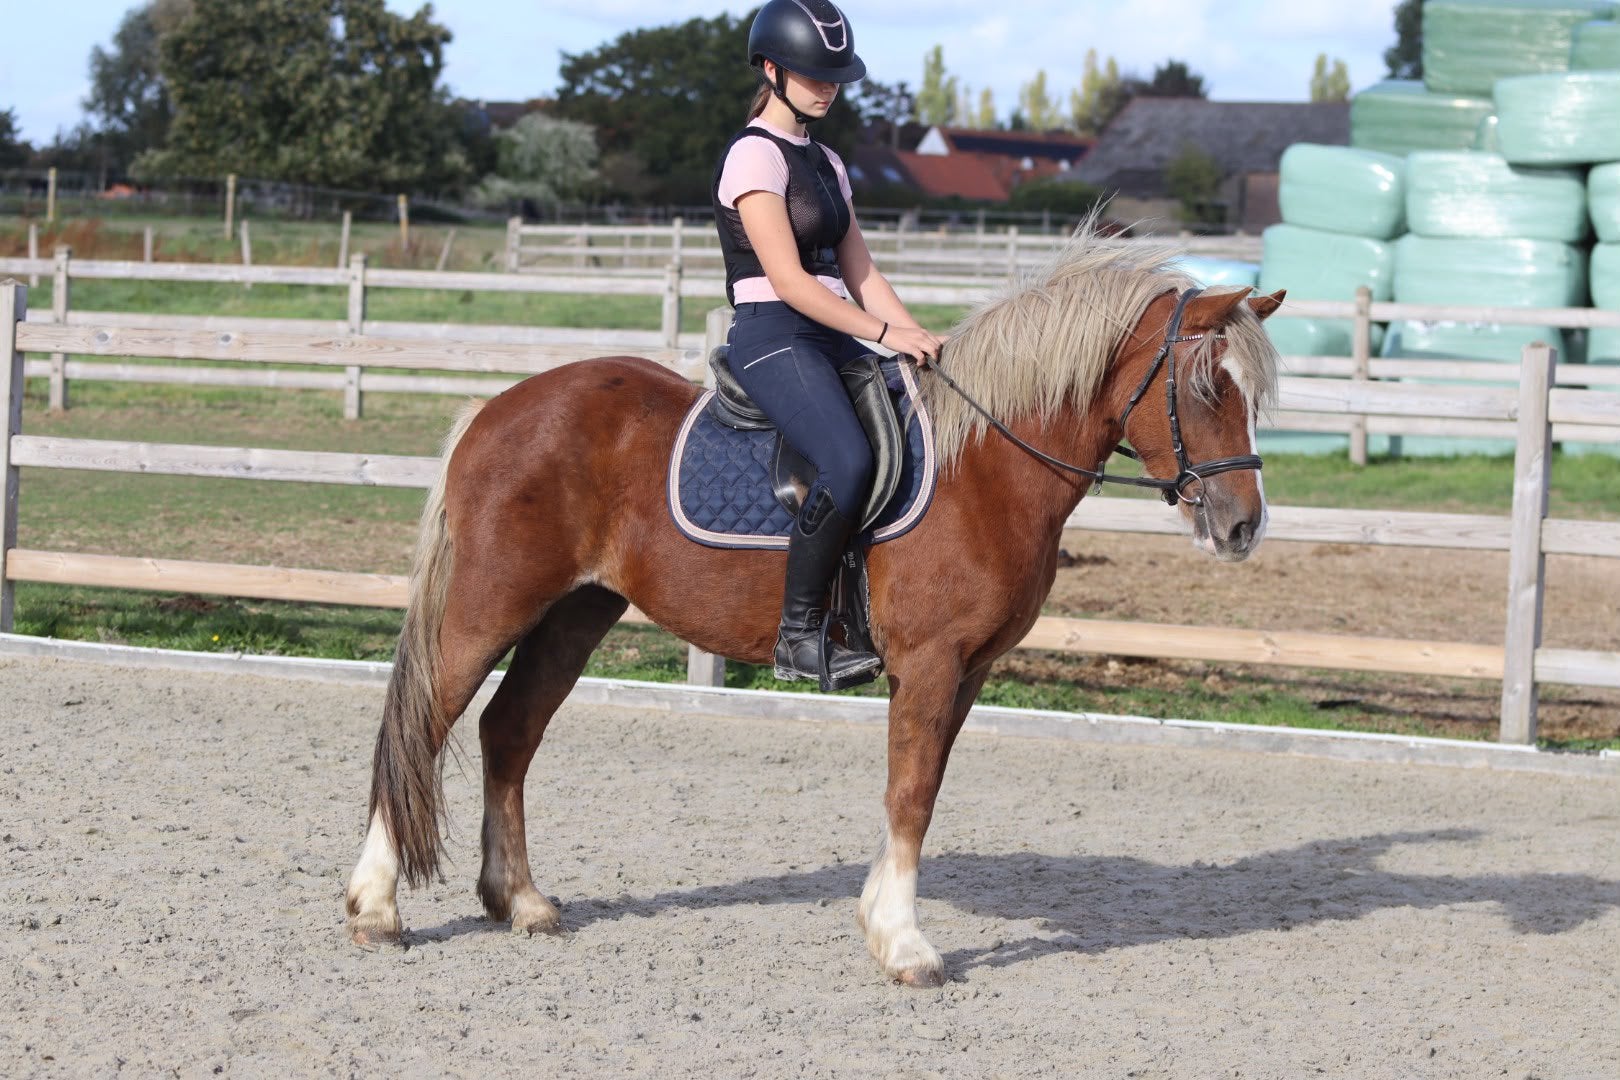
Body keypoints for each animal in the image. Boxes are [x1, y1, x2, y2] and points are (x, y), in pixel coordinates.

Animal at [344, 229, 1285, 987]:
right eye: (1206, 386)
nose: (1243, 527)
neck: (985, 465)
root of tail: (498, 408)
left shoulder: (967, 672)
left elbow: (921, 790)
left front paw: (880, 919)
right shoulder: (931, 664)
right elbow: (910, 794)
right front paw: (906, 947)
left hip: (576, 613)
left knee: (509, 731)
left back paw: (522, 902)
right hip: (492, 606)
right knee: (426, 721)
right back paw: (376, 909)